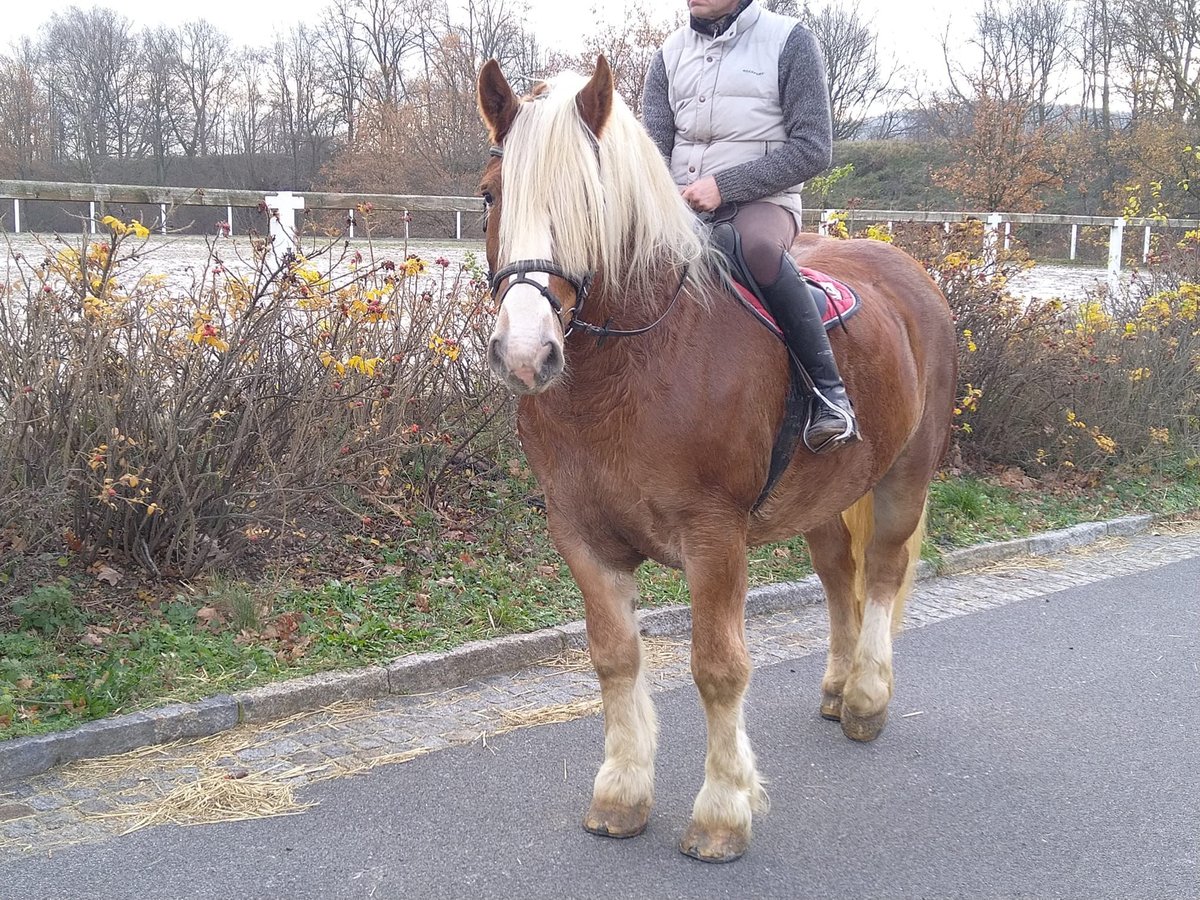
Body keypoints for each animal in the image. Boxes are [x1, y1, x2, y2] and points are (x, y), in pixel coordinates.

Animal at [475, 58, 955, 868]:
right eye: (488, 194)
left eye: (591, 199)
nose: (524, 352)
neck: (631, 369)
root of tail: (903, 266)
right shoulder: (581, 534)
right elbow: (614, 658)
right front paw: (621, 794)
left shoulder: (715, 536)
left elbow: (719, 668)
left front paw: (723, 813)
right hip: (824, 496)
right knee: (839, 574)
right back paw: (837, 686)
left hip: (903, 475)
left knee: (885, 572)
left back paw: (866, 697)